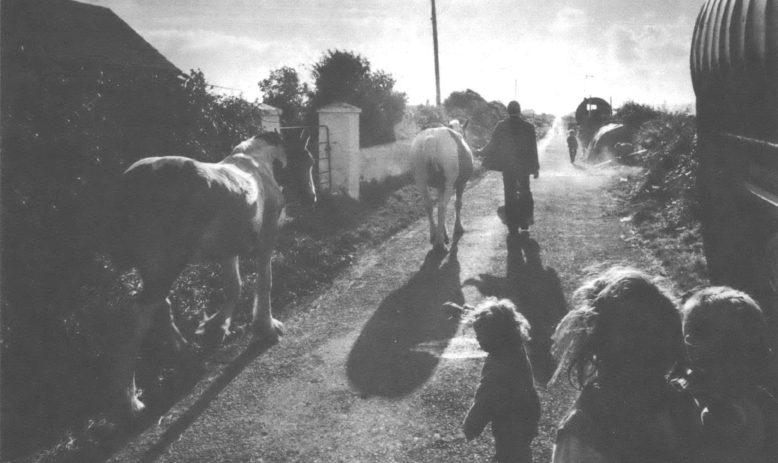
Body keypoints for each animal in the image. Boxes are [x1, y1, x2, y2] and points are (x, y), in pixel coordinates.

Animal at [109, 130, 316, 416]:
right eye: (309, 161)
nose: (312, 198)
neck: (257, 165)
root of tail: (132, 181)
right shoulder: (267, 238)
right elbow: (264, 282)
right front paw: (267, 328)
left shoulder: (229, 251)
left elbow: (235, 286)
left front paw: (216, 326)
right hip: (166, 268)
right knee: (138, 321)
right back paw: (130, 401)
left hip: (155, 270)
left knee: (161, 306)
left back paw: (187, 359)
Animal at [406, 118, 472, 252]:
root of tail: (430, 138)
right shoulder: (461, 183)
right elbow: (458, 204)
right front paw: (458, 228)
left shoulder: (440, 186)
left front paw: (444, 231)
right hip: (450, 182)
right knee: (442, 207)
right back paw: (440, 245)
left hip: (420, 180)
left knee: (428, 206)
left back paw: (434, 235)